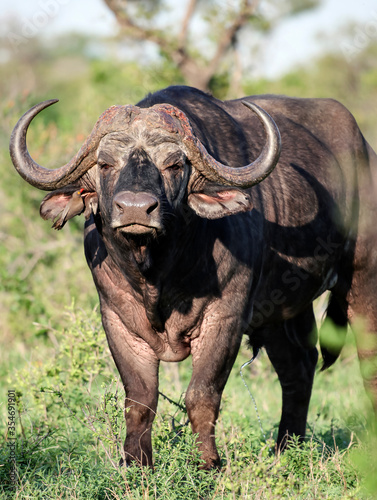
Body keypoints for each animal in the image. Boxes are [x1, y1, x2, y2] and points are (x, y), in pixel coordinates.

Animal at [8, 85, 376, 468]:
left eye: (173, 164)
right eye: (106, 163)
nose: (136, 209)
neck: (158, 272)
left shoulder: (224, 318)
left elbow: (201, 394)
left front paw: (208, 463)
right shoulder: (118, 321)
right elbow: (139, 398)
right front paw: (136, 464)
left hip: (363, 283)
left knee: (368, 365)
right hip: (283, 312)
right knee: (299, 366)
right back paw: (286, 450)